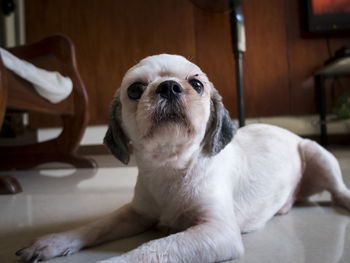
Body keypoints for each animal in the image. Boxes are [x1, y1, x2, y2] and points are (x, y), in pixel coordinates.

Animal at [15, 54, 350, 262]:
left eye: (197, 84)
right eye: (135, 89)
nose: (169, 86)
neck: (170, 166)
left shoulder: (216, 232)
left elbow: (149, 250)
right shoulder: (136, 214)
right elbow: (94, 227)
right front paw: (54, 242)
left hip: (318, 154)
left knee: (337, 190)